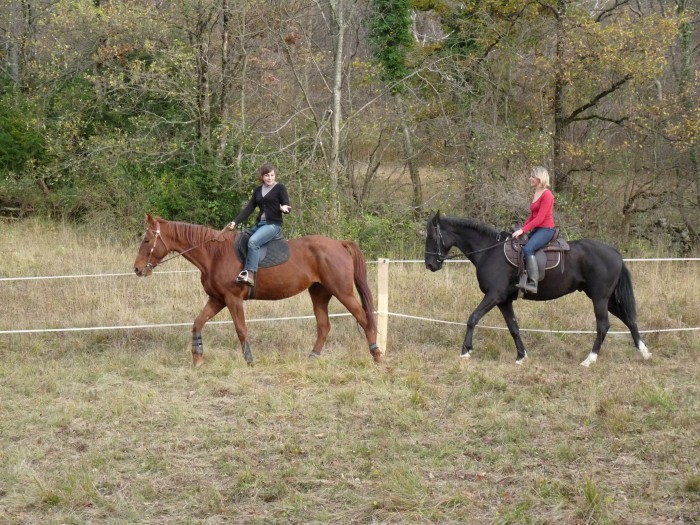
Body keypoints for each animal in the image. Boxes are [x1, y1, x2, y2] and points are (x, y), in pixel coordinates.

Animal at [131, 213, 382, 364]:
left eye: (146, 240)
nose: (137, 269)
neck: (214, 255)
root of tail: (339, 243)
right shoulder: (217, 300)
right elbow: (197, 323)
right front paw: (198, 357)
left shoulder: (232, 299)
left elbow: (241, 329)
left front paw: (249, 360)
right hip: (319, 293)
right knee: (324, 326)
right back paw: (313, 357)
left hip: (342, 292)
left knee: (363, 318)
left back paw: (376, 355)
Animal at [424, 211, 652, 366]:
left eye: (432, 237)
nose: (430, 265)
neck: (489, 251)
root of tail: (615, 253)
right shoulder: (504, 300)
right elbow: (513, 327)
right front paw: (521, 356)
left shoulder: (494, 296)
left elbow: (472, 318)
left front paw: (466, 351)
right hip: (608, 299)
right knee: (630, 320)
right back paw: (644, 352)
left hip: (600, 298)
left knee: (603, 325)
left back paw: (590, 359)